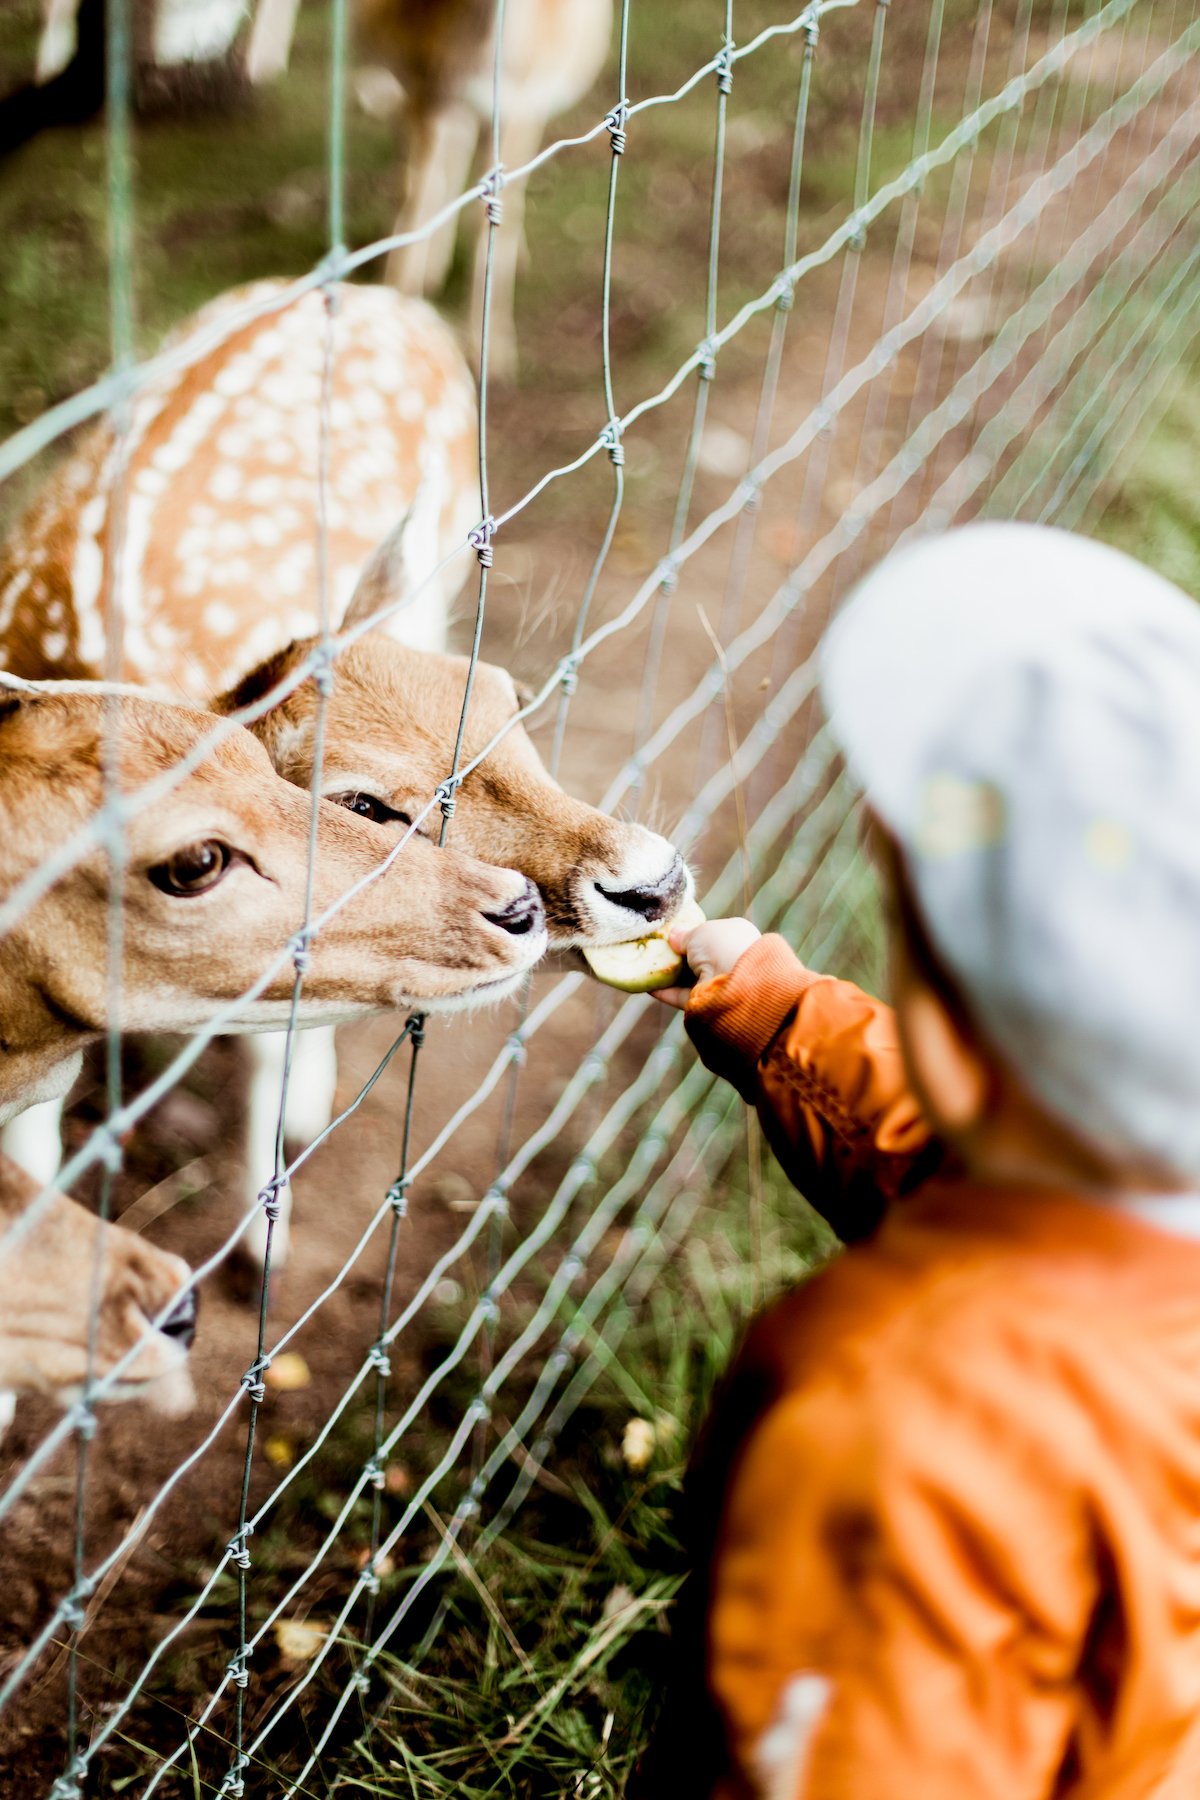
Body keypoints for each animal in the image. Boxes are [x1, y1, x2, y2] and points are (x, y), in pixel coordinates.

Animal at [246, 0, 618, 379]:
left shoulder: (520, 105)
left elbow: (501, 209)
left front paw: (493, 355)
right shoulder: (433, 94)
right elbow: (417, 196)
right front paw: (400, 305)